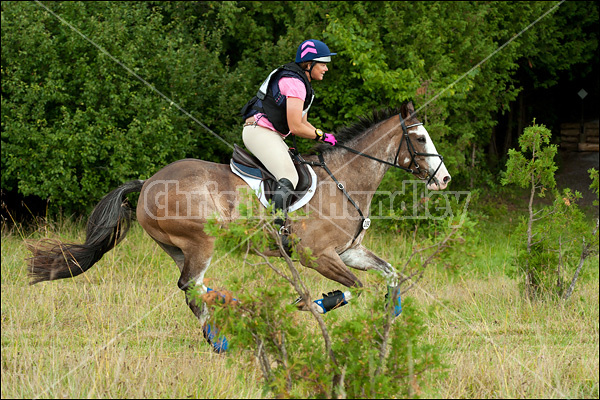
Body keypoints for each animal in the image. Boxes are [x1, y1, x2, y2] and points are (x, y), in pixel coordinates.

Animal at [27, 102, 450, 350]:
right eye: (419, 138)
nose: (444, 179)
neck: (346, 180)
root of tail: (147, 182)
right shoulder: (318, 256)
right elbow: (355, 289)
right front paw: (315, 303)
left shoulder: (350, 251)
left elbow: (391, 274)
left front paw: (389, 319)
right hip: (201, 240)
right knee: (191, 287)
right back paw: (222, 333)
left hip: (177, 247)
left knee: (193, 288)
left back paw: (225, 314)